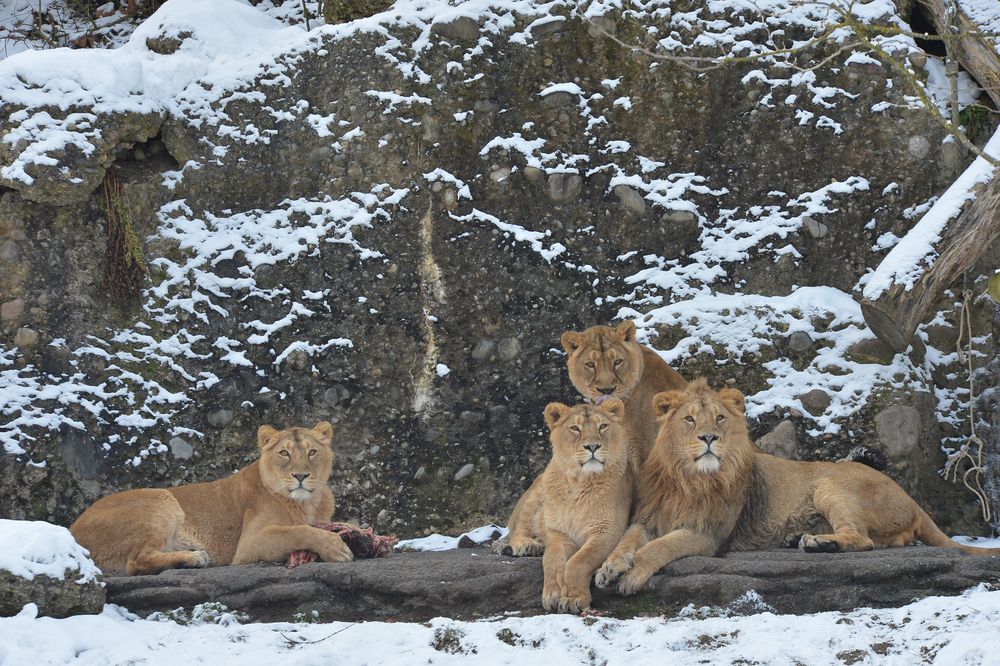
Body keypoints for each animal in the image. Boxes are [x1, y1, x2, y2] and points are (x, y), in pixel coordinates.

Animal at [70, 422, 352, 572]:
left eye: (312, 452)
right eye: (284, 453)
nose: (301, 475)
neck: (310, 502)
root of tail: (72, 531)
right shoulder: (248, 545)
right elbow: (299, 531)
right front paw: (337, 548)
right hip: (159, 500)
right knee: (136, 561)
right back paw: (194, 558)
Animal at [504, 396, 628, 608]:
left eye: (602, 426)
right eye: (575, 428)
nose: (593, 446)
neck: (579, 481)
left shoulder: (607, 532)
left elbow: (579, 561)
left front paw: (572, 598)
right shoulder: (559, 534)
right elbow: (551, 560)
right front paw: (553, 592)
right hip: (535, 495)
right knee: (517, 530)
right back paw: (528, 545)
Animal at [592, 378, 1000, 592]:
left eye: (720, 418)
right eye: (689, 419)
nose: (709, 438)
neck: (689, 478)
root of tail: (913, 500)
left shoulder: (708, 534)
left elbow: (657, 549)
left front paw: (632, 575)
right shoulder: (648, 518)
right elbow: (627, 540)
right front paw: (610, 568)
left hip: (830, 484)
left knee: (863, 540)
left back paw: (817, 543)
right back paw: (801, 539)